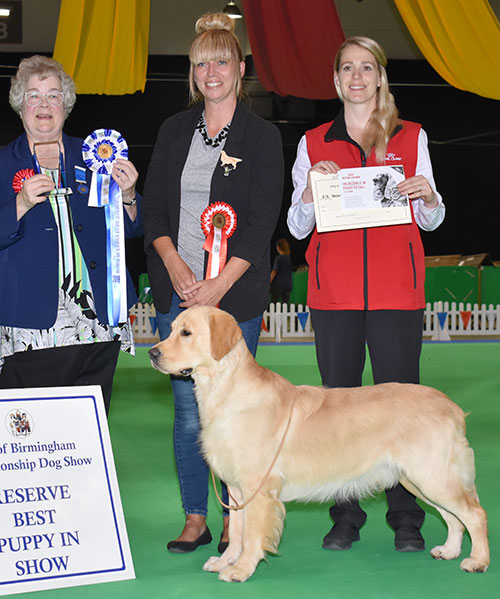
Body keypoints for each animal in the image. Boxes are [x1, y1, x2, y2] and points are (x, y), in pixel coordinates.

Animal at [147, 304, 488, 580]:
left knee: (475, 514)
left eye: (187, 333)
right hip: (420, 480)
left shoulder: (259, 488)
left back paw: (477, 561)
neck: (225, 390)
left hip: (432, 476)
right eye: (171, 329)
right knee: (454, 518)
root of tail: (451, 406)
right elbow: (238, 532)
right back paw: (449, 550)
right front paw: (225, 561)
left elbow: (252, 535)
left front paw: (241, 570)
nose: (152, 353)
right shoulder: (236, 489)